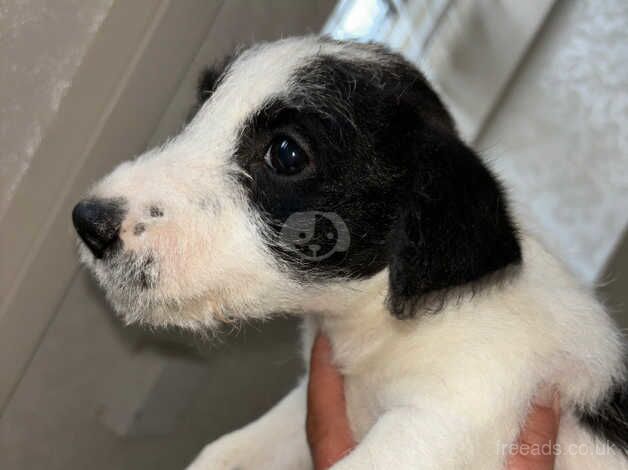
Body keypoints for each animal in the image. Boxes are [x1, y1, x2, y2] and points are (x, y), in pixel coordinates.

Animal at [75, 37, 628, 470]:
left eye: (286, 152)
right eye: (199, 112)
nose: (88, 222)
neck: (380, 327)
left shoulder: (443, 419)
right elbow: (223, 452)